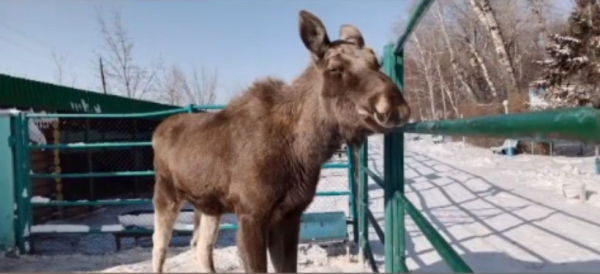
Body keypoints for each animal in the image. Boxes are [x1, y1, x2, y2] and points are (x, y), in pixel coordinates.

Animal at [151, 9, 412, 272]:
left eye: (376, 62)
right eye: (334, 68)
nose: (395, 107)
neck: (305, 153)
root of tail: (156, 132)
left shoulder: (290, 214)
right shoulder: (251, 213)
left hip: (208, 205)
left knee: (202, 248)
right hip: (166, 193)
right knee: (159, 247)